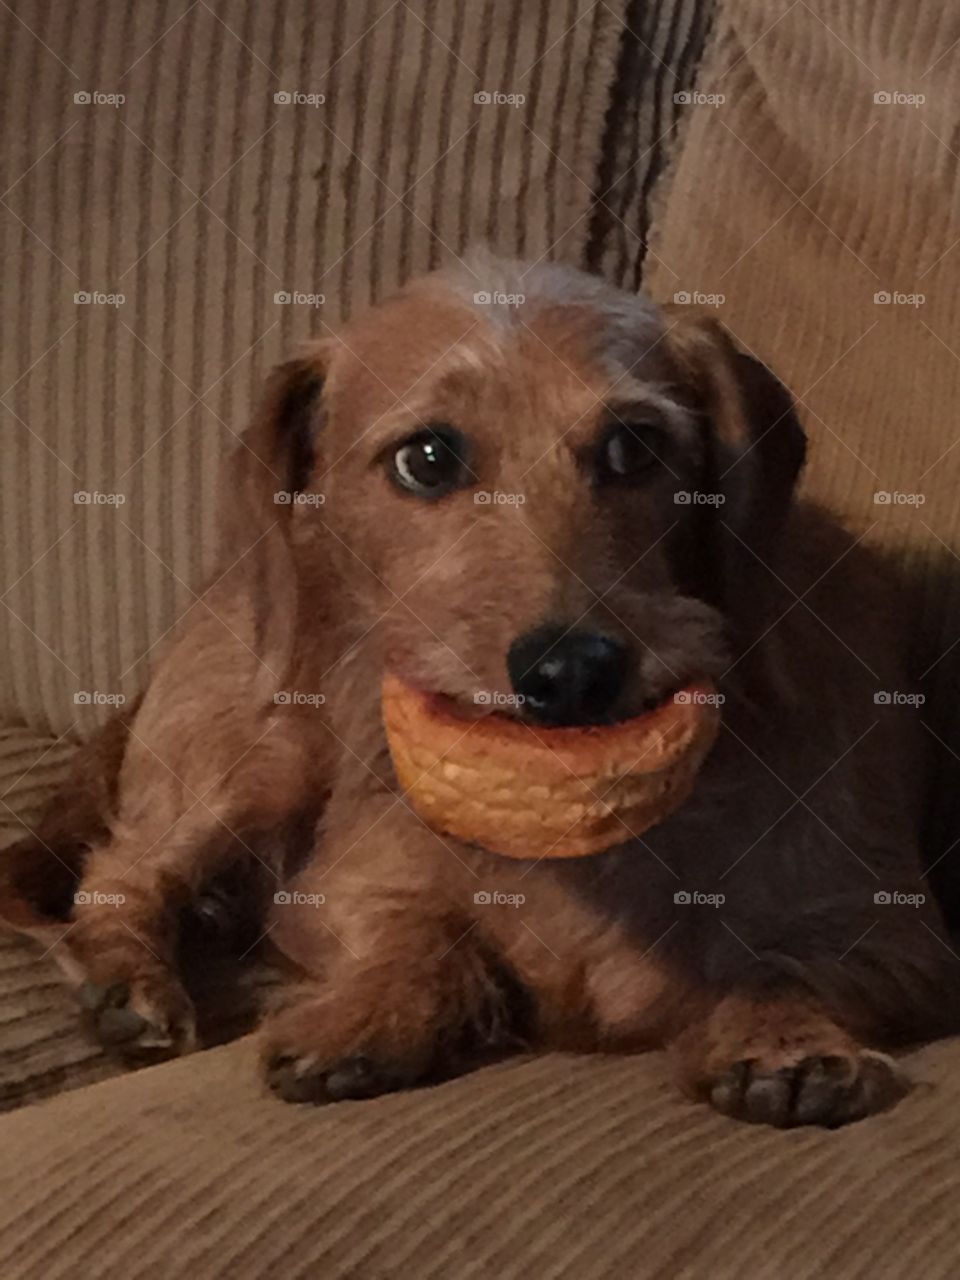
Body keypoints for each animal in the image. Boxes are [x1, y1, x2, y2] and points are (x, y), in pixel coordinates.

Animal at [3, 254, 957, 1126]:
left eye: (634, 444)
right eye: (426, 458)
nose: (571, 670)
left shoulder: (896, 937)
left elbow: (777, 965)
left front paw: (783, 1042)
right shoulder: (336, 893)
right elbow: (424, 939)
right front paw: (372, 1014)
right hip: (248, 756)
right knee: (121, 873)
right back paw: (130, 979)